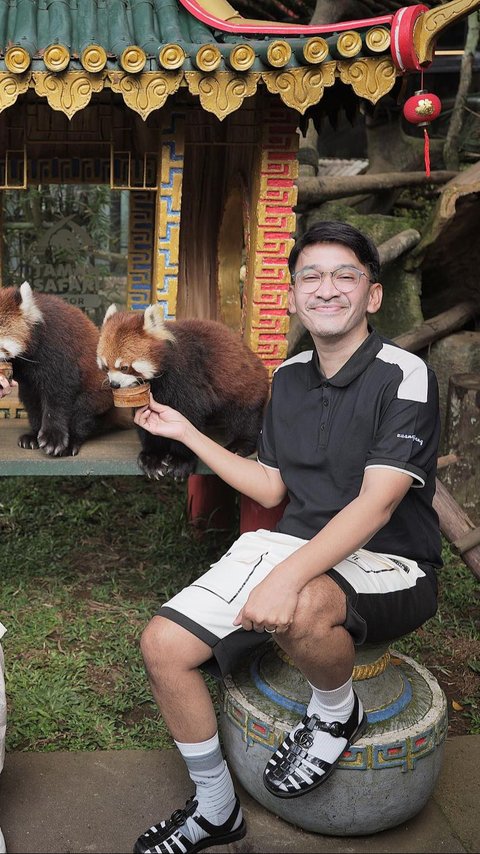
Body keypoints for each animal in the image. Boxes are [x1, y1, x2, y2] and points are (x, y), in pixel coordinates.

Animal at [0, 282, 129, 458]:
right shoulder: (26, 375)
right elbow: (34, 403)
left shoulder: (56, 348)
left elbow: (58, 396)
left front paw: (53, 439)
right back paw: (33, 436)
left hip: (97, 394)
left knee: (82, 413)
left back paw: (72, 441)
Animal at [97, 306, 270, 482]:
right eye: (105, 367)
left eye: (124, 367)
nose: (114, 384)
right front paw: (152, 458)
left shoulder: (186, 377)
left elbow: (189, 418)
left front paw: (180, 461)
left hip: (243, 383)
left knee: (245, 415)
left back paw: (240, 443)